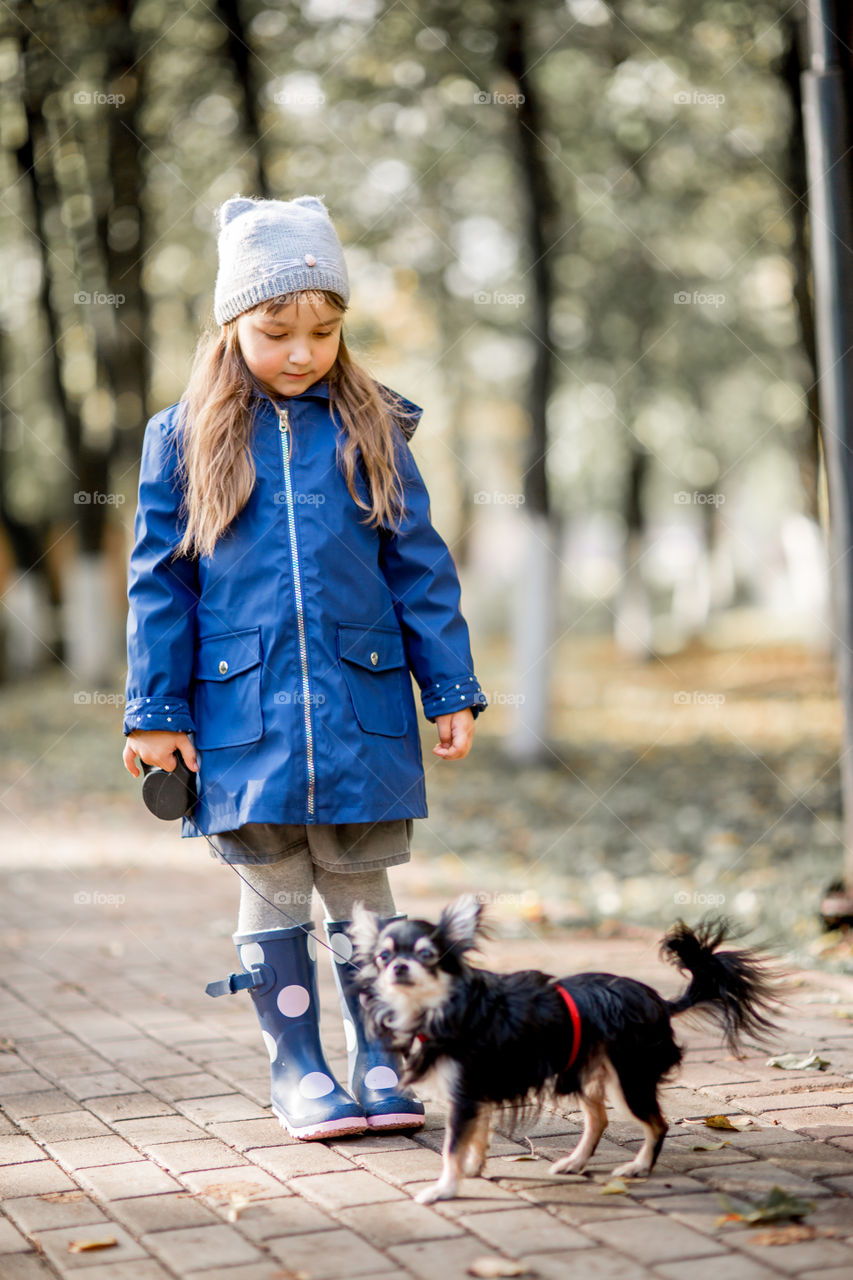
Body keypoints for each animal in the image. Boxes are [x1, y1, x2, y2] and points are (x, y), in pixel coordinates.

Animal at [348, 901, 778, 1198]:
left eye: (426, 955)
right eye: (383, 956)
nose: (398, 967)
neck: (444, 1006)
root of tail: (658, 1000)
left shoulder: (465, 1094)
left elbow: (452, 1146)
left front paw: (445, 1189)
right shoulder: (475, 1093)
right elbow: (477, 1135)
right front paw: (474, 1168)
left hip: (628, 1081)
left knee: (657, 1124)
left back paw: (638, 1168)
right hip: (586, 1073)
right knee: (599, 1121)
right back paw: (575, 1162)